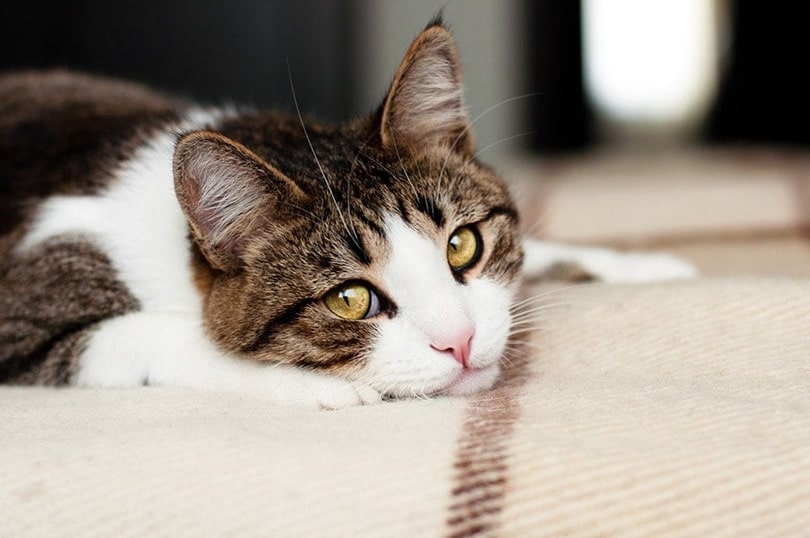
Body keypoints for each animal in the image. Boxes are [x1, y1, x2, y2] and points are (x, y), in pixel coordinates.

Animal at [1, 18, 696, 408]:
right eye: (349, 300)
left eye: (462, 245)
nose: (462, 342)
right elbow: (160, 334)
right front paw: (321, 385)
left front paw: (642, 268)